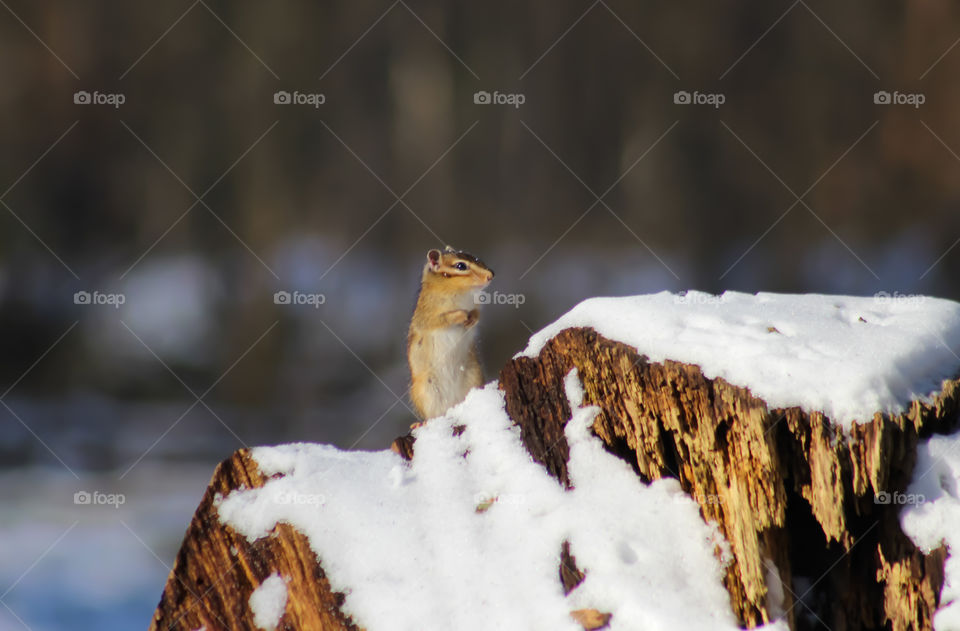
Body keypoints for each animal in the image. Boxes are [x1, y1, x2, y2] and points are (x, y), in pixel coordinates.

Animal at [407, 246, 495, 421]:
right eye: (461, 266)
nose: (491, 275)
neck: (462, 293)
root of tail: (451, 406)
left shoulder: (476, 305)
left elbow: (477, 313)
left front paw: (472, 319)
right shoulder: (429, 316)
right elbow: (443, 319)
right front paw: (462, 315)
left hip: (474, 376)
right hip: (425, 391)